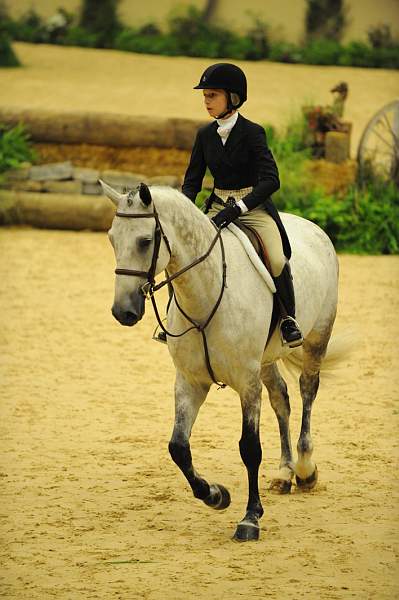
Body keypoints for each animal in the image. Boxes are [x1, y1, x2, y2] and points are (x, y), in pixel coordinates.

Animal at [101, 180, 340, 540]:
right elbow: (178, 447)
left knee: (307, 391)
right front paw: (216, 495)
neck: (206, 291)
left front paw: (250, 518)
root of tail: (312, 228)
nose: (123, 312)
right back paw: (284, 474)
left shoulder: (247, 383)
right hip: (266, 360)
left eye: (144, 242)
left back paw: (304, 469)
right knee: (281, 398)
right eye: (112, 239)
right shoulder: (189, 382)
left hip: (316, 339)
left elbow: (250, 448)